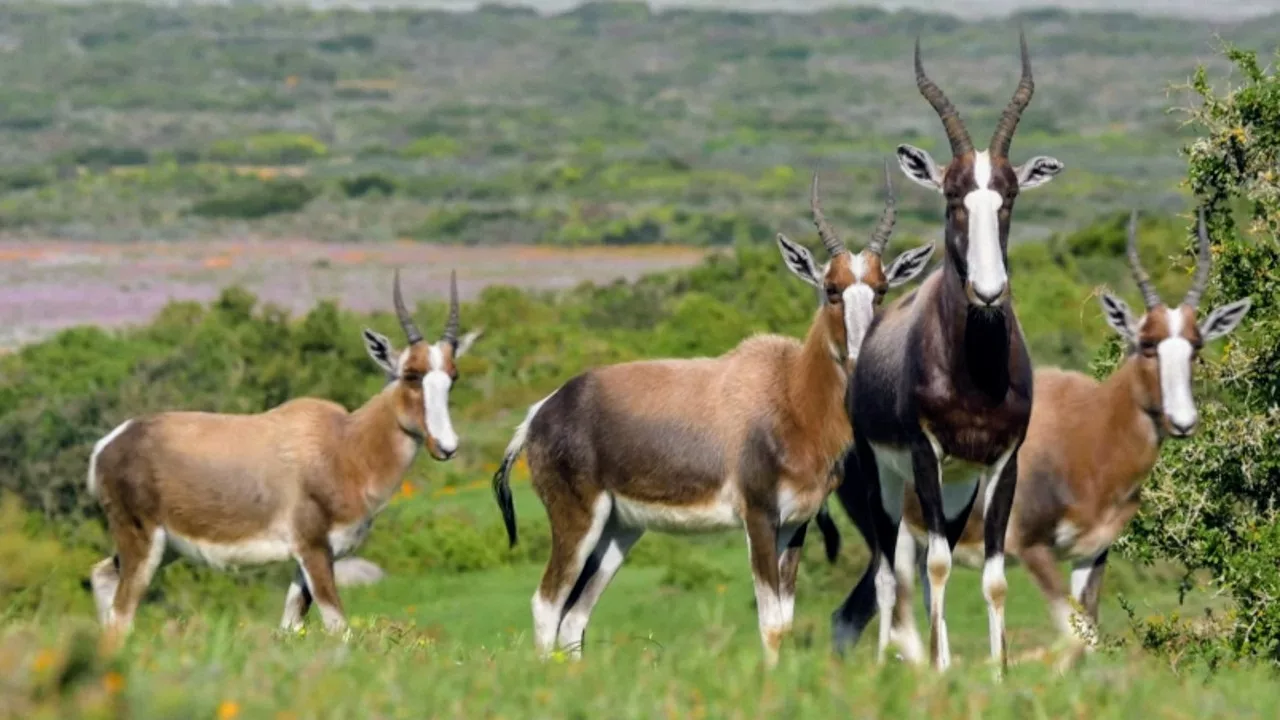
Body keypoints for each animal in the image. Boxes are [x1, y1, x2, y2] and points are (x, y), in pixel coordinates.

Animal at [85, 267, 481, 632]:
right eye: (411, 374)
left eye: (452, 376)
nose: (447, 446)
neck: (343, 443)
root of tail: (111, 443)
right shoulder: (314, 551)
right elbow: (339, 627)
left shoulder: (307, 560)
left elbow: (290, 629)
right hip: (144, 542)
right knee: (122, 613)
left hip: (164, 549)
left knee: (103, 577)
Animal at [486, 165, 931, 666]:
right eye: (831, 289)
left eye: (881, 290)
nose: (860, 359)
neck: (789, 392)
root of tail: (541, 411)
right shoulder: (759, 519)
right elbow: (770, 621)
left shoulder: (795, 526)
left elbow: (785, 619)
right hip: (578, 522)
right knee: (547, 604)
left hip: (619, 531)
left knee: (575, 616)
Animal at [824, 32, 1064, 671]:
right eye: (953, 196)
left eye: (1008, 197)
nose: (988, 290)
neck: (974, 373)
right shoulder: (924, 454)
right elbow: (931, 565)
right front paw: (940, 667)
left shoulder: (1003, 463)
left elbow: (994, 576)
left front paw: (1000, 672)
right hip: (884, 480)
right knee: (890, 573)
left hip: (959, 490)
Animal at [849, 207, 1249, 661]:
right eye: (1147, 344)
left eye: (1195, 347)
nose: (1182, 421)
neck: (1090, 428)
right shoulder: (1033, 550)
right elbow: (1074, 635)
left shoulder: (1091, 554)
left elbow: (1085, 636)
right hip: (897, 535)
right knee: (901, 619)